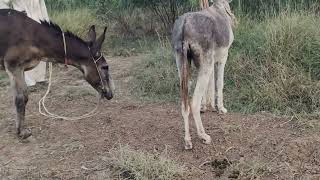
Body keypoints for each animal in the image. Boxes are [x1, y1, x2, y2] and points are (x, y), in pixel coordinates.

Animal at [0, 9, 115, 139]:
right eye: (105, 67)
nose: (111, 94)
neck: (35, 37)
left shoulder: (21, 69)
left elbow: (23, 96)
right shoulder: (14, 66)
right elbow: (21, 97)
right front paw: (22, 132)